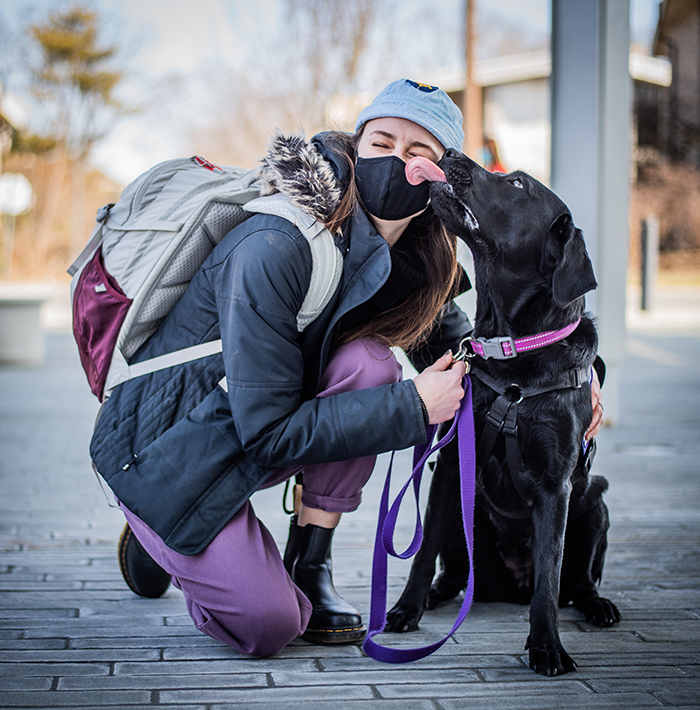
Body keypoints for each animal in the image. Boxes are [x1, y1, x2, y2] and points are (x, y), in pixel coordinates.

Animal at [388, 152, 624, 680]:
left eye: (517, 184)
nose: (451, 155)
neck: (512, 352)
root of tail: (507, 587)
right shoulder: (450, 464)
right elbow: (421, 554)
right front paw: (405, 609)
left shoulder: (557, 487)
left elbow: (549, 580)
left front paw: (547, 647)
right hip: (466, 515)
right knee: (455, 573)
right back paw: (436, 596)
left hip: (595, 503)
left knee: (579, 582)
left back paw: (598, 606)